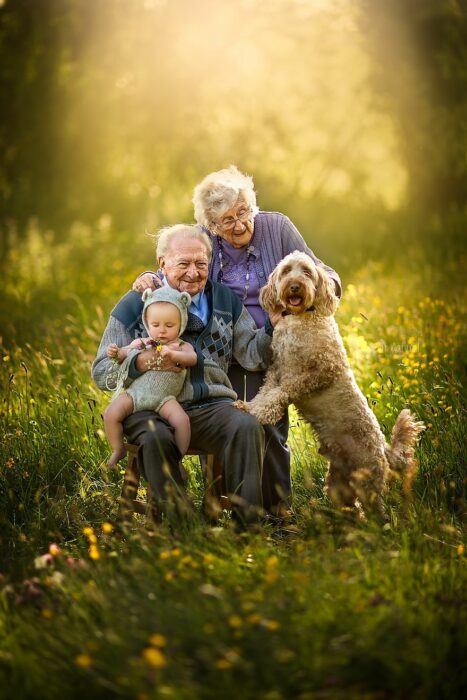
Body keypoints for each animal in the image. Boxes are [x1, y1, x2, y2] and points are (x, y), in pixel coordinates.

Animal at [239, 252, 426, 516]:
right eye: (286, 271)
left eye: (307, 272)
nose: (294, 286)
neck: (300, 318)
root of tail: (384, 449)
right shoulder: (276, 370)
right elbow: (266, 393)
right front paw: (249, 407)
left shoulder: (317, 371)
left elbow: (281, 392)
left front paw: (260, 412)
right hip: (338, 485)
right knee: (350, 508)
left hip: (368, 482)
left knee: (377, 512)